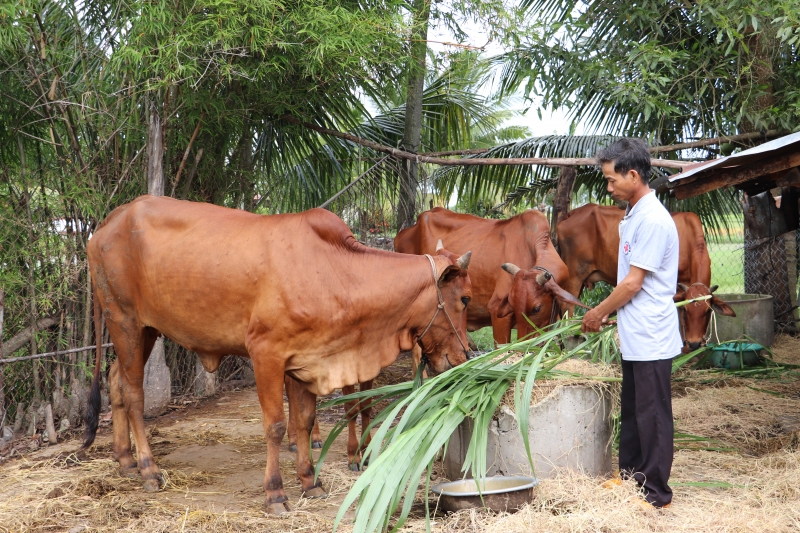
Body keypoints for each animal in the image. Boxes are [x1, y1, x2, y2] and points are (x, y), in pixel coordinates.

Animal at [83, 195, 472, 512]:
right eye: (466, 298)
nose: (466, 355)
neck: (337, 273)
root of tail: (108, 221)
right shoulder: (266, 354)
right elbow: (276, 426)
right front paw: (275, 493)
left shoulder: (306, 359)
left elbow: (304, 421)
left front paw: (310, 481)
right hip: (125, 321)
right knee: (134, 393)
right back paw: (149, 469)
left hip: (144, 330)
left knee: (116, 379)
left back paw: (125, 461)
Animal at [552, 203, 736, 350]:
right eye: (686, 310)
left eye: (708, 311)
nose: (695, 343)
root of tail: (572, 213)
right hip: (575, 275)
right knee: (566, 307)